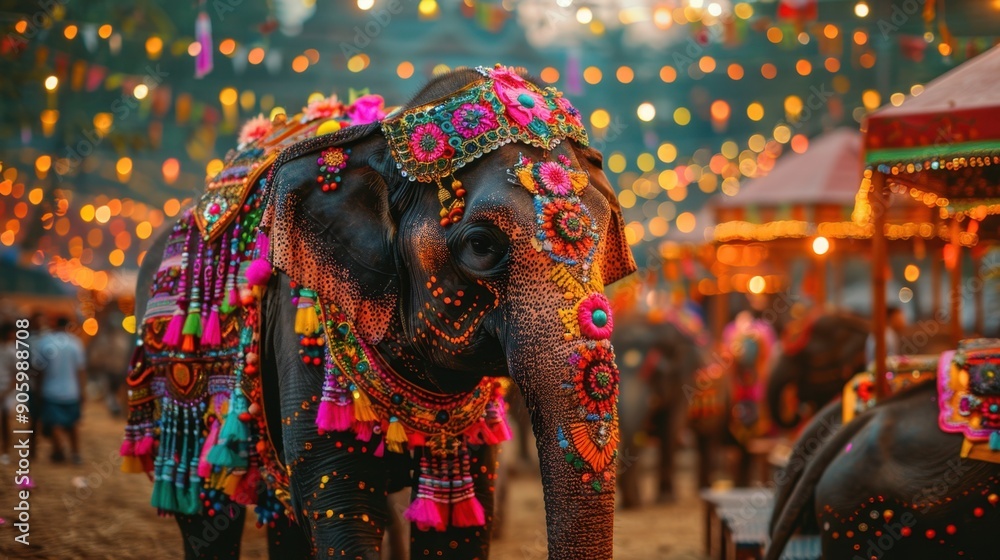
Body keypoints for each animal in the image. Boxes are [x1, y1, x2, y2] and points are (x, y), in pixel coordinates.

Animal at [122, 65, 635, 560]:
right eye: (481, 245)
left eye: (608, 227)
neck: (381, 140)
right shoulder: (300, 323)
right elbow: (339, 509)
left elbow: (463, 528)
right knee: (207, 512)